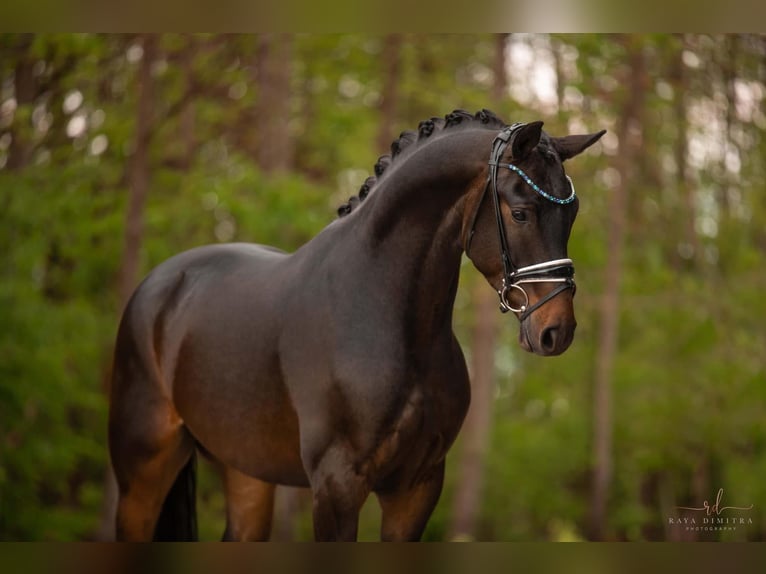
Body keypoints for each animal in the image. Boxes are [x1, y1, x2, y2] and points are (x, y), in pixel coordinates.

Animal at [108, 110, 608, 544]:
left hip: (246, 470)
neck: (388, 320)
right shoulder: (337, 487)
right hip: (143, 474)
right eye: (521, 212)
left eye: (572, 213)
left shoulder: (416, 486)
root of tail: (159, 284)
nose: (556, 330)